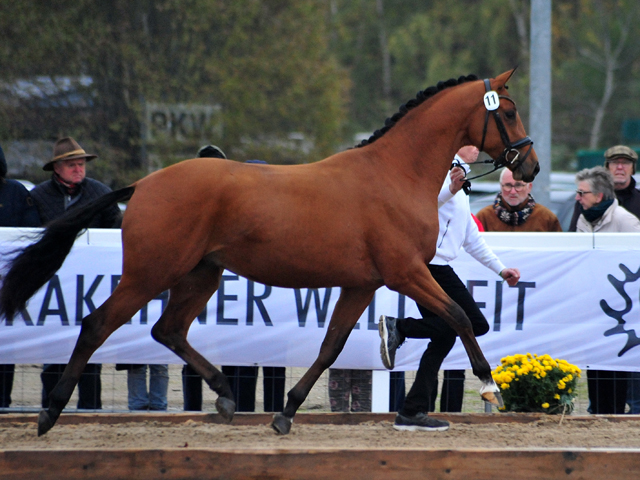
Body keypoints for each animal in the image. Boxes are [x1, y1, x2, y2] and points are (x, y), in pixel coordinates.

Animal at [0, 68, 536, 436]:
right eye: (508, 112)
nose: (528, 165)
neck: (395, 174)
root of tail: (144, 185)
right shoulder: (406, 272)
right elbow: (459, 317)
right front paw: (491, 387)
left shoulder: (362, 283)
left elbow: (331, 345)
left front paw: (286, 413)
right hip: (151, 273)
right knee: (97, 325)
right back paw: (49, 412)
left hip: (201, 275)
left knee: (166, 329)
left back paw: (224, 397)